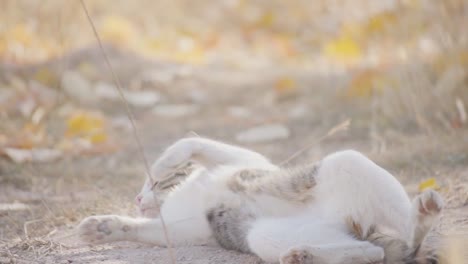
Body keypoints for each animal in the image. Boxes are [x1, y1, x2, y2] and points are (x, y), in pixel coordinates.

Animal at [78, 137, 444, 262]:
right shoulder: (188, 229)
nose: (138, 197)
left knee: (405, 240)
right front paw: (103, 227)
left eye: (153, 183)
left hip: (348, 161)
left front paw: (163, 162)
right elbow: (149, 228)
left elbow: (192, 142)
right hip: (261, 234)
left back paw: (422, 216)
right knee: (376, 252)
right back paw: (304, 255)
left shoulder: (246, 159)